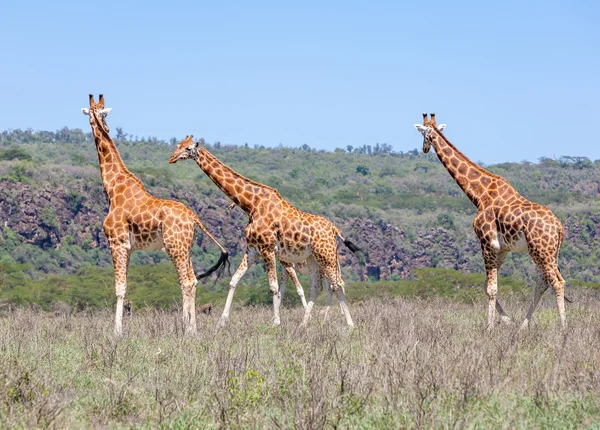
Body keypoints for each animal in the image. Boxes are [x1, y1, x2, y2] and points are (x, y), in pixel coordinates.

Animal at [81, 95, 229, 336]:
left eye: (96, 112)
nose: (104, 126)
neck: (113, 187)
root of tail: (194, 217)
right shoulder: (129, 247)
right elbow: (125, 288)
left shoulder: (117, 242)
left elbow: (119, 289)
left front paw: (117, 332)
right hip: (186, 247)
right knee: (193, 280)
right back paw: (193, 329)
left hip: (174, 246)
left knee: (187, 282)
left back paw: (187, 330)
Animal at [166, 136, 358, 328]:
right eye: (178, 145)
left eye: (188, 148)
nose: (172, 158)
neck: (251, 205)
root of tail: (334, 229)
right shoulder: (252, 250)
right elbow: (234, 280)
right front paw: (221, 322)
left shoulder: (268, 249)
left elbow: (273, 287)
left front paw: (276, 322)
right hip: (313, 258)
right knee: (318, 286)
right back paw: (304, 324)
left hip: (326, 255)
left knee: (337, 284)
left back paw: (349, 324)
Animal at [414, 111, 564, 330]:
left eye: (422, 134)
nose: (424, 149)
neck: (480, 194)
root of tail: (560, 227)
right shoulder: (502, 249)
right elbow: (487, 284)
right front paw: (507, 320)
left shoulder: (486, 243)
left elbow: (491, 288)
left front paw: (489, 327)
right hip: (546, 252)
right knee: (543, 283)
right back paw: (523, 326)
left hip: (542, 251)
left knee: (557, 282)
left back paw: (564, 328)